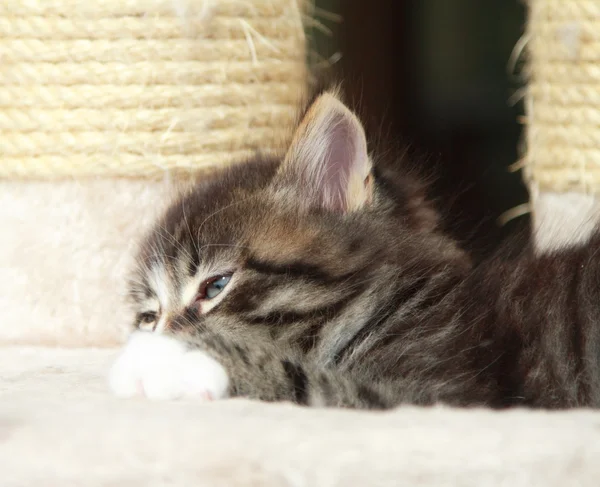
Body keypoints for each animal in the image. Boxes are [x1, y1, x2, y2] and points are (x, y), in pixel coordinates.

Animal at [110, 88, 600, 412]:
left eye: (217, 286)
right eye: (149, 316)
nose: (156, 336)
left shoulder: (450, 393)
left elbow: (307, 382)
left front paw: (171, 365)